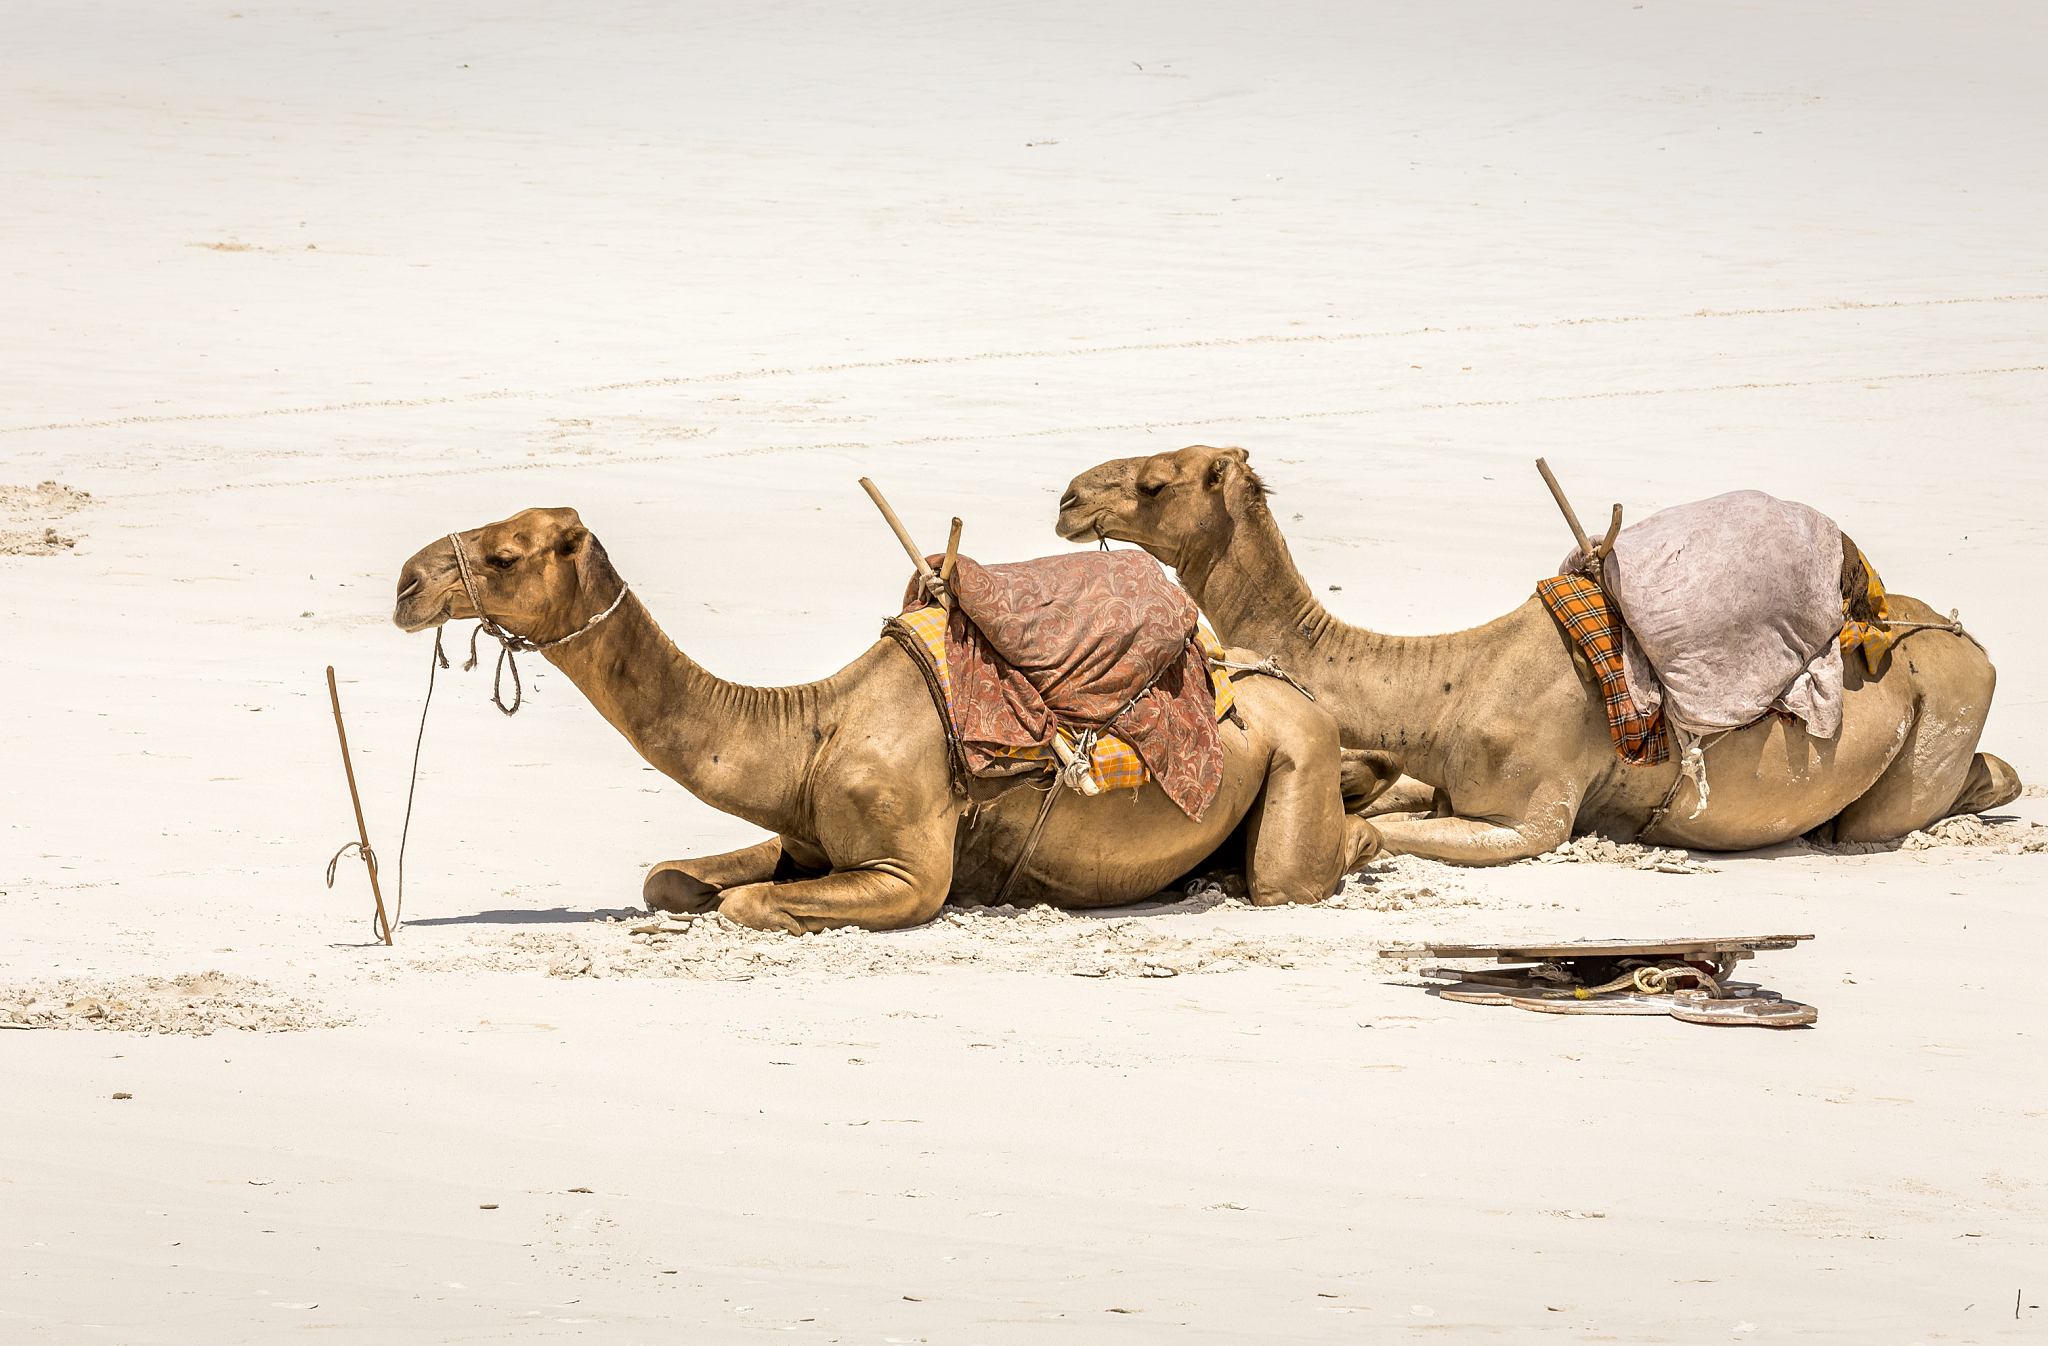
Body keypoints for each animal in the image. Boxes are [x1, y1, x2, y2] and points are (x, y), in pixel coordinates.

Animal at [391, 507, 1393, 931]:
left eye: (506, 554)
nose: (405, 581)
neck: (811, 730)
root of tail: (1281, 686)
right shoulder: (801, 834)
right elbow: (667, 879)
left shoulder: (908, 874)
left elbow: (749, 904)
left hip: (1298, 754)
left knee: (1297, 871)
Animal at [1057, 445, 2020, 865]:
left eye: (1156, 482)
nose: (1068, 497)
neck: (1445, 691)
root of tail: (1961, 634)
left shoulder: (1533, 817)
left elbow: (1389, 828)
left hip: (1942, 711)